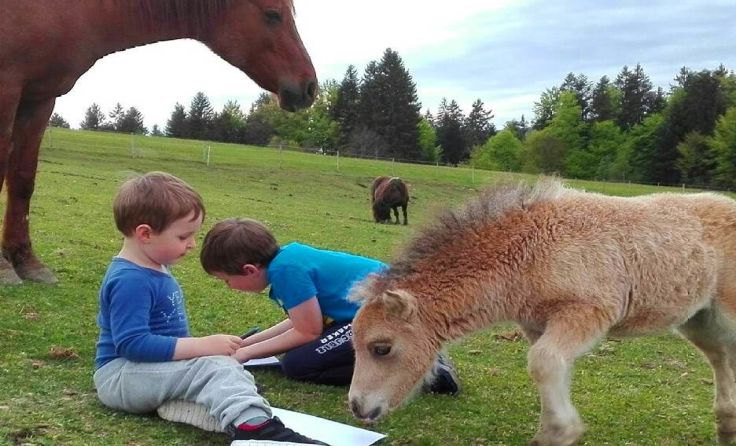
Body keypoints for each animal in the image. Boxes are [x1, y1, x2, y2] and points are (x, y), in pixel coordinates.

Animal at [0, 0, 317, 285]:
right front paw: (4, 269)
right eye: (273, 14)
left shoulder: (40, 98)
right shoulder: (8, 89)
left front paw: (27, 262)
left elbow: (22, 181)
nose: (310, 87)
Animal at [347, 178, 736, 446]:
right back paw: (726, 422)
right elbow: (549, 367)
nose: (357, 407)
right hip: (698, 319)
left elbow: (544, 362)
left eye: (381, 348)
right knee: (720, 356)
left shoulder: (588, 312)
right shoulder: (538, 324)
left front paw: (561, 432)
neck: (530, 251)